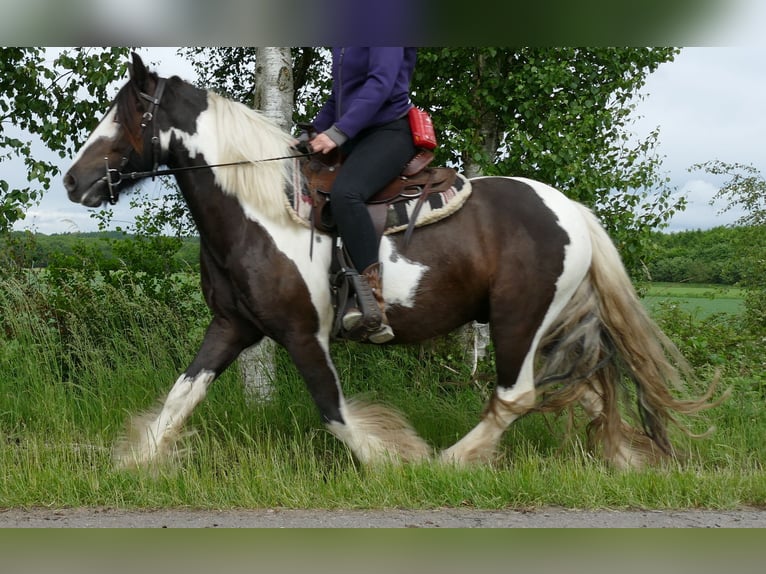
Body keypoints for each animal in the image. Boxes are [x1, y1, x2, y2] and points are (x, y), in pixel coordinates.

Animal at [63, 52, 715, 470]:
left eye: (127, 115)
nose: (73, 182)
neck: (261, 209)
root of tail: (571, 210)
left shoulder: (302, 333)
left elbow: (333, 410)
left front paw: (392, 459)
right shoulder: (231, 326)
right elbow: (181, 397)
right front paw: (131, 462)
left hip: (517, 320)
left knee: (516, 396)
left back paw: (452, 461)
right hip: (547, 325)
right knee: (585, 389)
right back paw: (624, 456)